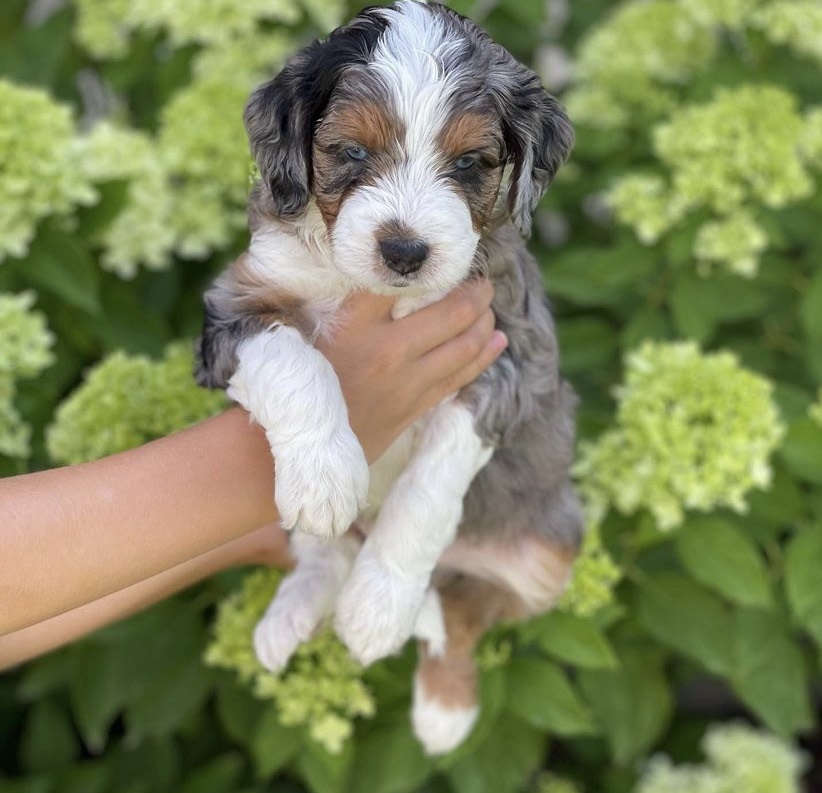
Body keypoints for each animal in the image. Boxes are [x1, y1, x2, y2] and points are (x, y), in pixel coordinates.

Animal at [198, 0, 584, 756]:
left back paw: (440, 703)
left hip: (549, 546)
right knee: (327, 554)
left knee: (465, 610)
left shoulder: (503, 359)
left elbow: (423, 497)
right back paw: (291, 614)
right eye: (351, 152)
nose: (405, 250)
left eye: (469, 163)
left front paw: (380, 607)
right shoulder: (235, 310)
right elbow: (296, 362)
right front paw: (324, 479)